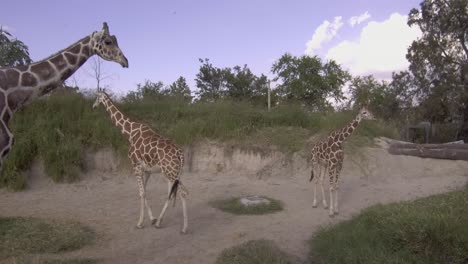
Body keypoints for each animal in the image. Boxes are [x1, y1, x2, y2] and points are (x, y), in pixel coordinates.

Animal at [93, 91, 188, 233]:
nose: (93, 106)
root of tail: (180, 154)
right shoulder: (147, 170)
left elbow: (141, 193)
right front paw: (152, 219)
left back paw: (184, 228)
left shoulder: (136, 166)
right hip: (174, 172)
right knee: (173, 193)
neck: (130, 132)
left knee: (182, 192)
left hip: (170, 172)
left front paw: (140, 223)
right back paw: (159, 222)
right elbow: (145, 192)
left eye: (97, 96)